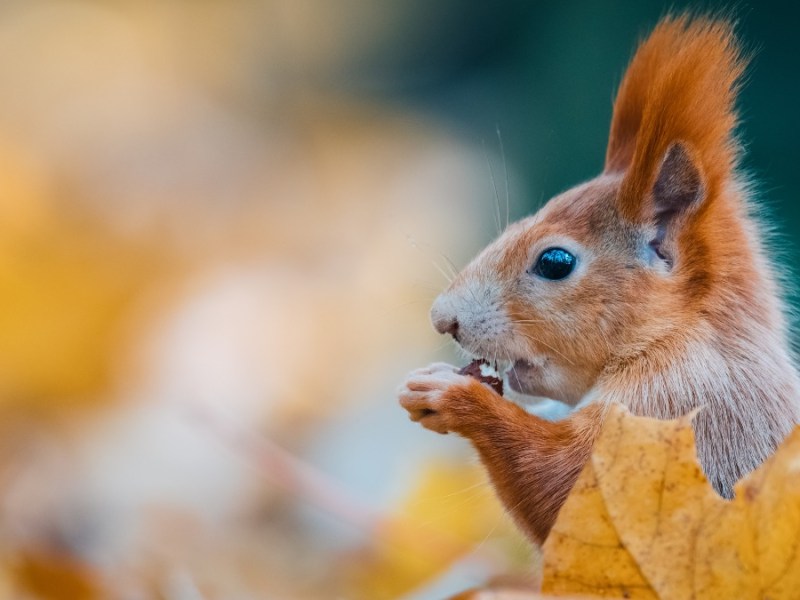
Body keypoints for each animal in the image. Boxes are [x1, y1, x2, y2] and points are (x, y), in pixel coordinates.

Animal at [400, 16, 800, 548]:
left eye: (555, 261)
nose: (443, 319)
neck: (677, 334)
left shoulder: (685, 408)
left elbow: (565, 489)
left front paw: (454, 396)